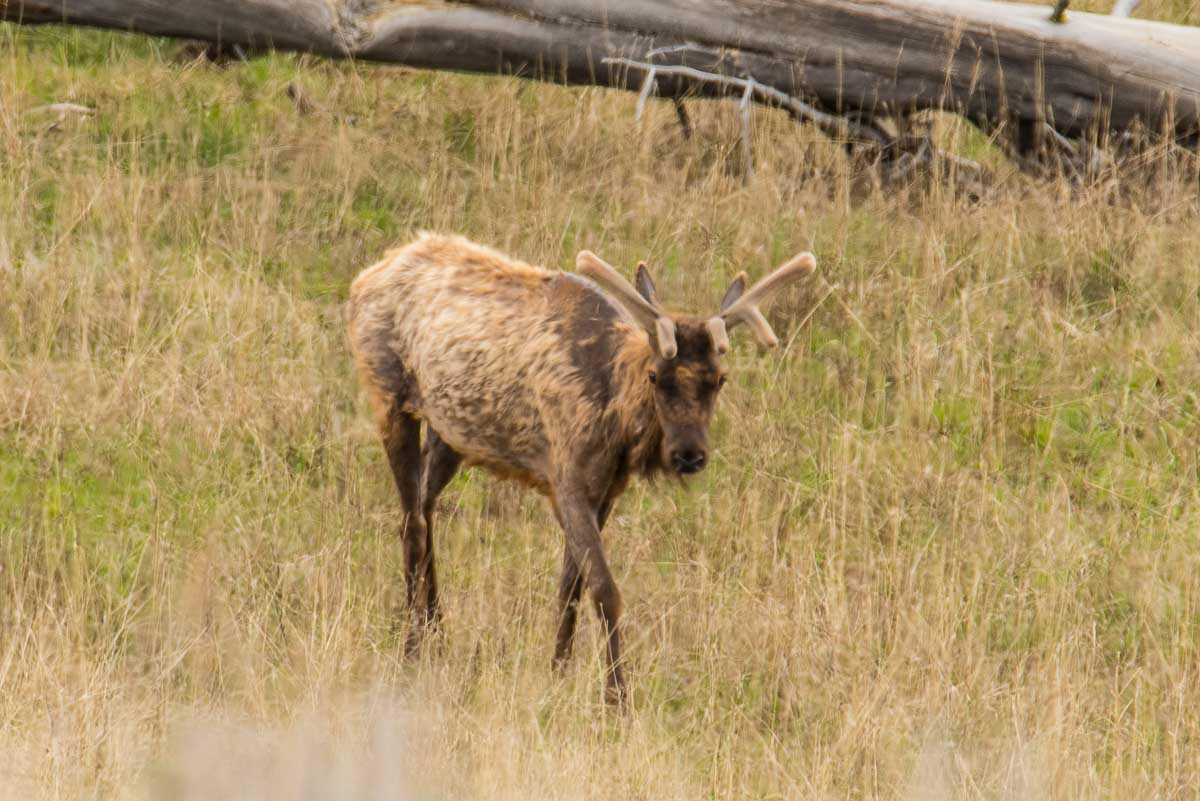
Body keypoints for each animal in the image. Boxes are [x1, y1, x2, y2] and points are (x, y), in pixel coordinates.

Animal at [348, 232, 816, 700]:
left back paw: (438, 632)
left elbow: (570, 584)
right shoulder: (566, 478)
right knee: (411, 523)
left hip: (449, 432)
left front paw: (558, 669)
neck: (616, 422)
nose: (689, 453)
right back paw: (412, 648)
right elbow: (605, 588)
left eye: (719, 379)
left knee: (425, 511)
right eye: (654, 376)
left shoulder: (605, 490)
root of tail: (365, 276)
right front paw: (616, 696)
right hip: (390, 396)